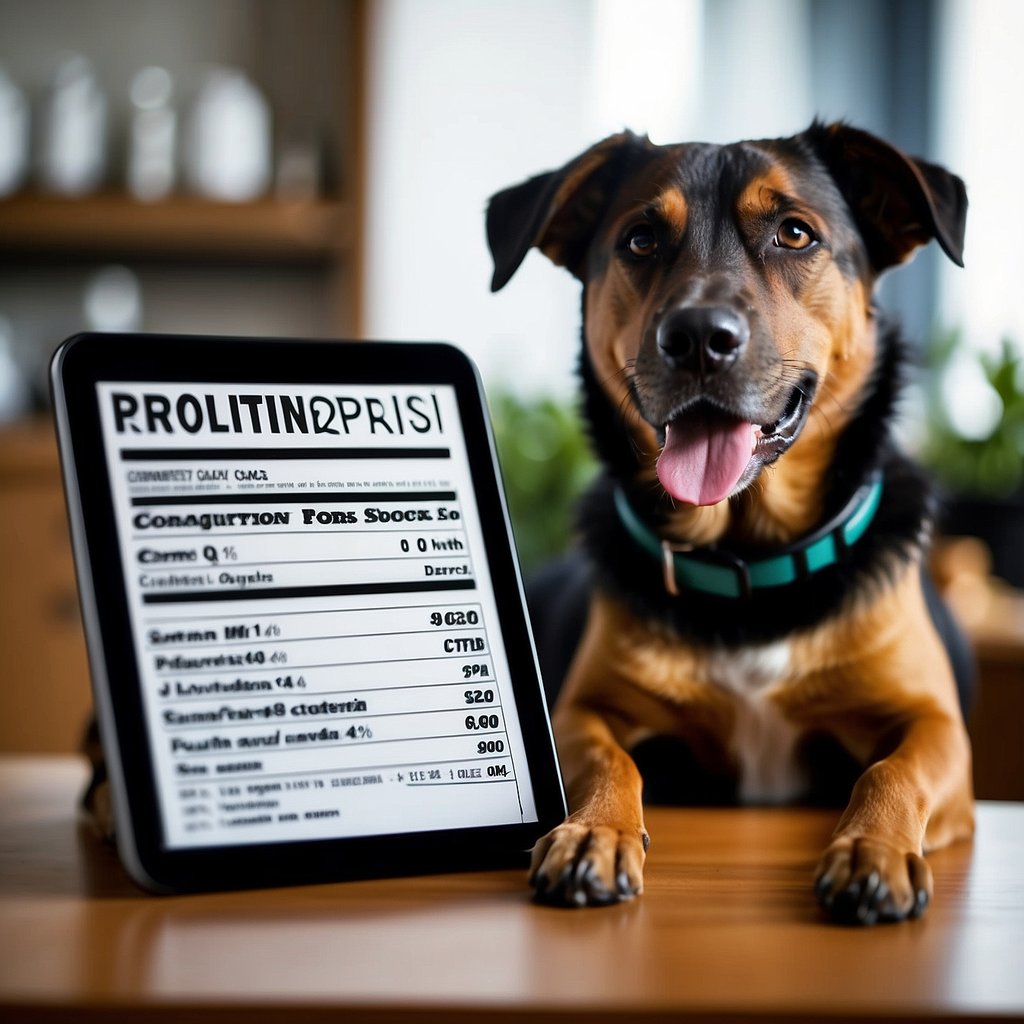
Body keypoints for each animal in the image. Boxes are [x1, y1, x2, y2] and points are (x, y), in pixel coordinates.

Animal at [487, 123, 974, 925]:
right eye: (641, 239)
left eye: (795, 232)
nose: (696, 337)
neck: (749, 559)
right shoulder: (580, 712)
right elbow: (608, 759)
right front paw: (592, 832)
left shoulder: (937, 725)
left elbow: (891, 770)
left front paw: (871, 849)